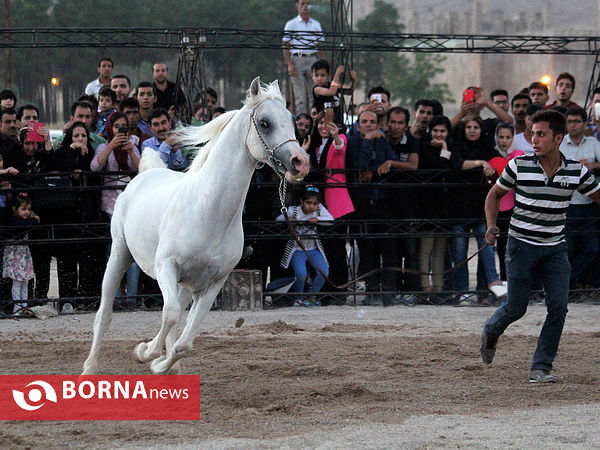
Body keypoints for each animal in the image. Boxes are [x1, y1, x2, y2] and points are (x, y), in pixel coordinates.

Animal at [83, 78, 310, 376]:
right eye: (264, 123)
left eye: (292, 120)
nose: (300, 162)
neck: (207, 212)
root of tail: (146, 174)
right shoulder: (166, 267)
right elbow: (169, 315)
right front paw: (144, 352)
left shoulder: (212, 283)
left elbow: (183, 343)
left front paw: (160, 364)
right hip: (120, 256)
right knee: (105, 314)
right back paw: (89, 368)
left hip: (183, 284)